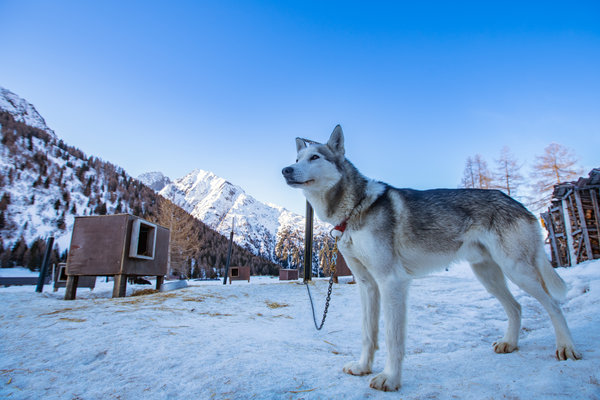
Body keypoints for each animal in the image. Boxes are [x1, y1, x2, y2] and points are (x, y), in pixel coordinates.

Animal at [282, 125, 580, 390]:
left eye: (315, 157)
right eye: (297, 159)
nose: (285, 170)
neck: (355, 208)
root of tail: (517, 203)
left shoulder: (392, 282)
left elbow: (392, 339)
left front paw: (390, 379)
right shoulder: (368, 286)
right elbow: (369, 334)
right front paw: (363, 367)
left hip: (517, 271)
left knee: (554, 305)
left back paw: (566, 347)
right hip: (488, 276)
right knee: (516, 308)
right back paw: (510, 343)